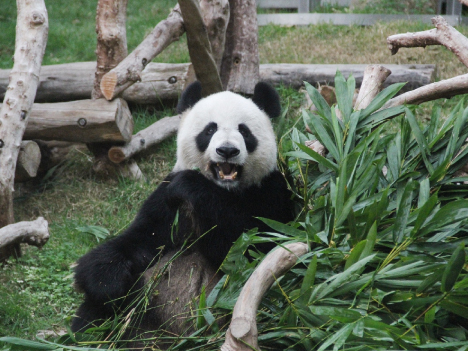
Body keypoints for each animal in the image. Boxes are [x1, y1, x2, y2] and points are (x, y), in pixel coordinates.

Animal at [71, 80, 294, 344]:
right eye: (209, 130)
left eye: (245, 131)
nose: (227, 150)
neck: (224, 190)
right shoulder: (167, 205)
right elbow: (139, 240)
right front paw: (107, 280)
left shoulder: (271, 191)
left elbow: (250, 247)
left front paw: (191, 185)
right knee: (96, 314)